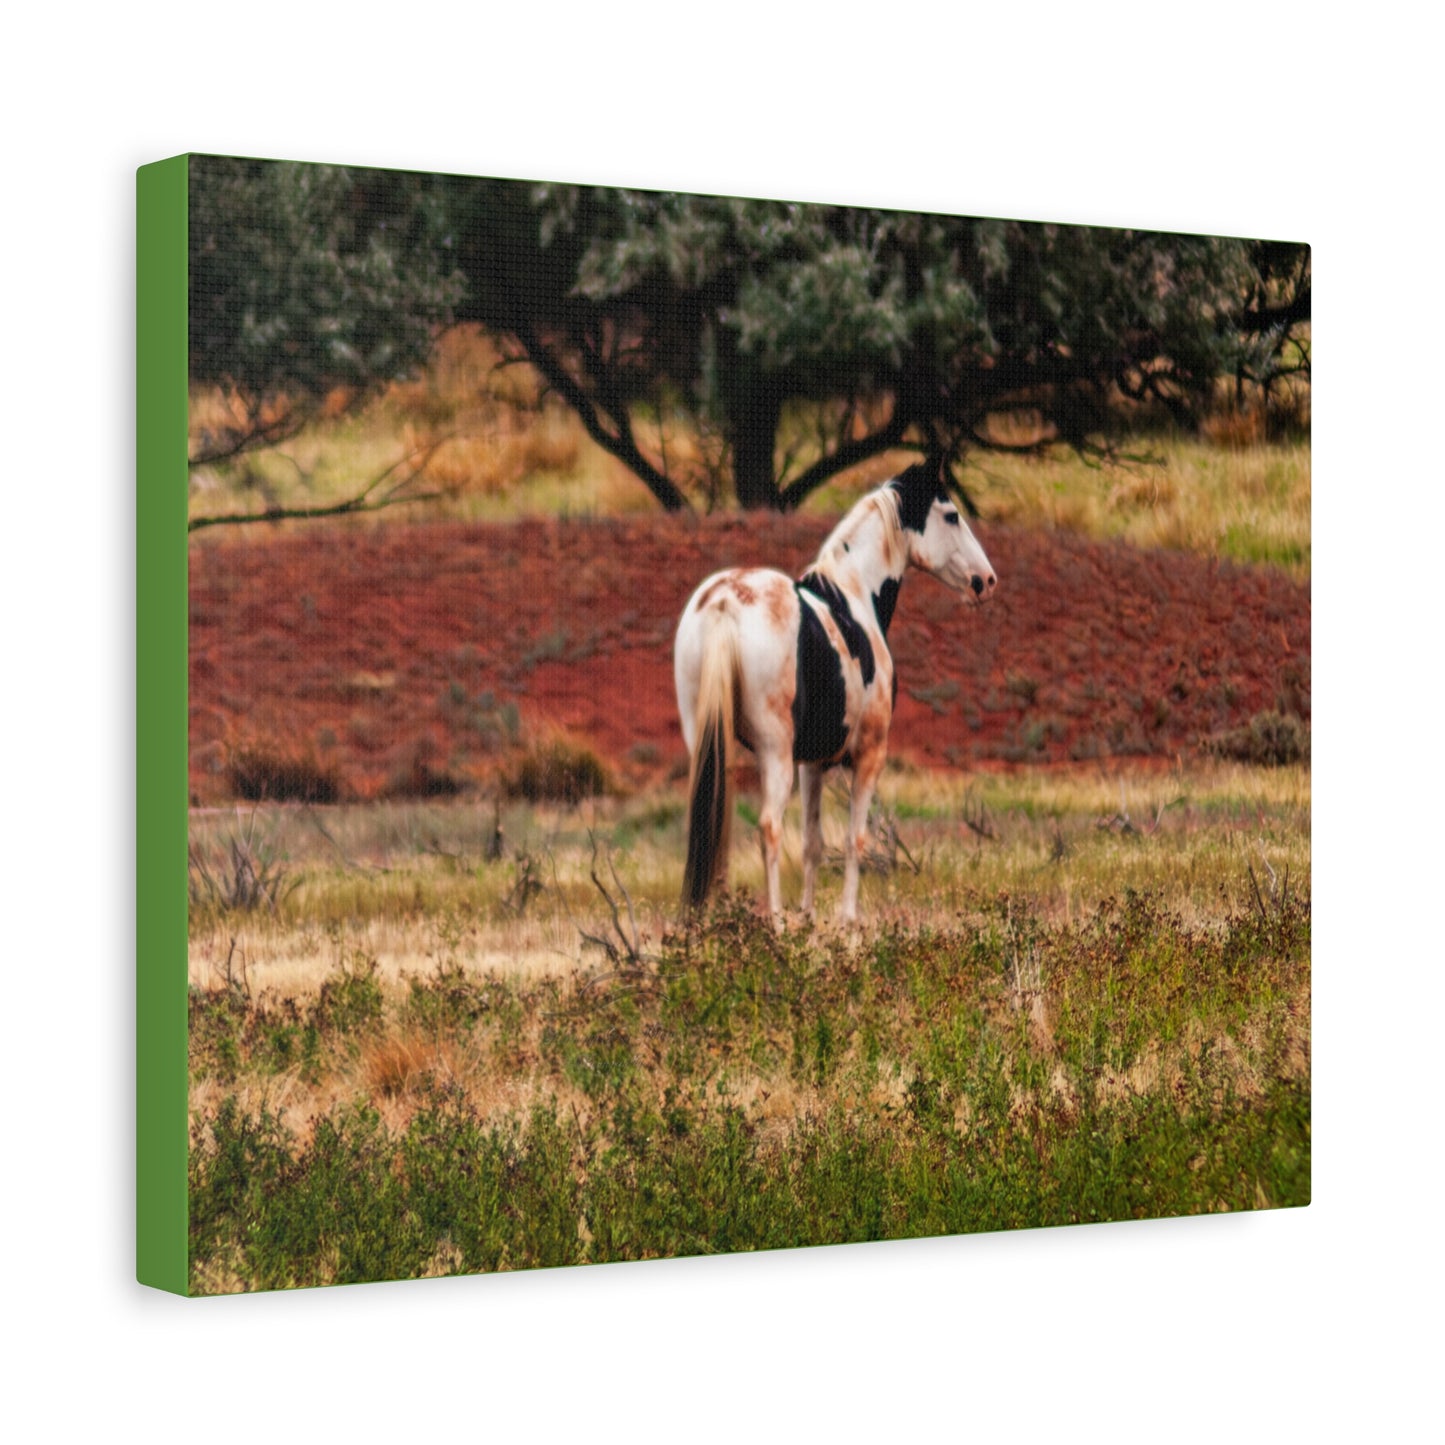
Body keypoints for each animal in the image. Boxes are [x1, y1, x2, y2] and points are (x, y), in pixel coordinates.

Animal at [674, 459, 996, 923]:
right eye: (951, 515)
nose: (986, 581)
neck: (854, 595)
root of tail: (723, 603)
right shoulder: (868, 756)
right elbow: (853, 840)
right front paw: (847, 920)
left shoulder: (812, 764)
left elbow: (813, 844)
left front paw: (809, 919)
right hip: (773, 751)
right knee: (769, 827)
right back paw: (775, 922)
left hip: (709, 741)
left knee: (714, 819)